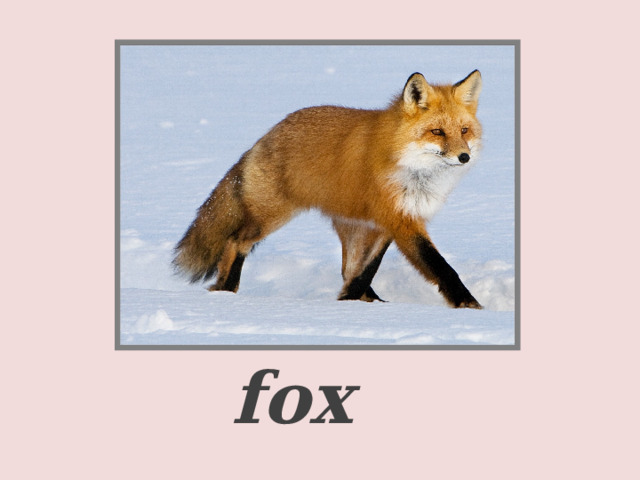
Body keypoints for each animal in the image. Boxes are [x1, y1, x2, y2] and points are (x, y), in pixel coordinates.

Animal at [173, 70, 483, 308]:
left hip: (353, 225)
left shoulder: (390, 221)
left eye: (464, 131)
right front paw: (469, 305)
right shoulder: (400, 220)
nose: (464, 157)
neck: (411, 168)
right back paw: (226, 291)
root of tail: (267, 134)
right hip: (271, 216)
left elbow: (366, 270)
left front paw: (349, 301)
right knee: (235, 242)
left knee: (348, 269)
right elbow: (441, 267)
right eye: (437, 132)